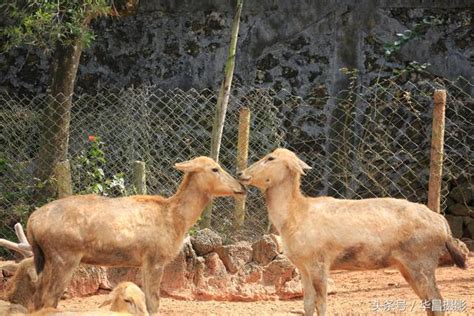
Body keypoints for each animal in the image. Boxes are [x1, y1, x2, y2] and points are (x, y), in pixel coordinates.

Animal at [26, 157, 244, 314]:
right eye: (215, 168)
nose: (241, 187)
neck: (177, 219)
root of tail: (32, 223)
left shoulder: (144, 262)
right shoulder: (155, 257)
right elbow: (154, 302)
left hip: (45, 259)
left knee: (37, 297)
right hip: (64, 257)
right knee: (49, 298)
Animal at [239, 149, 468, 316]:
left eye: (270, 158)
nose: (241, 174)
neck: (294, 217)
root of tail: (444, 225)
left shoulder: (319, 261)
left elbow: (321, 304)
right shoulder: (302, 266)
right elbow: (307, 305)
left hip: (422, 261)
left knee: (437, 301)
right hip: (408, 265)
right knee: (430, 302)